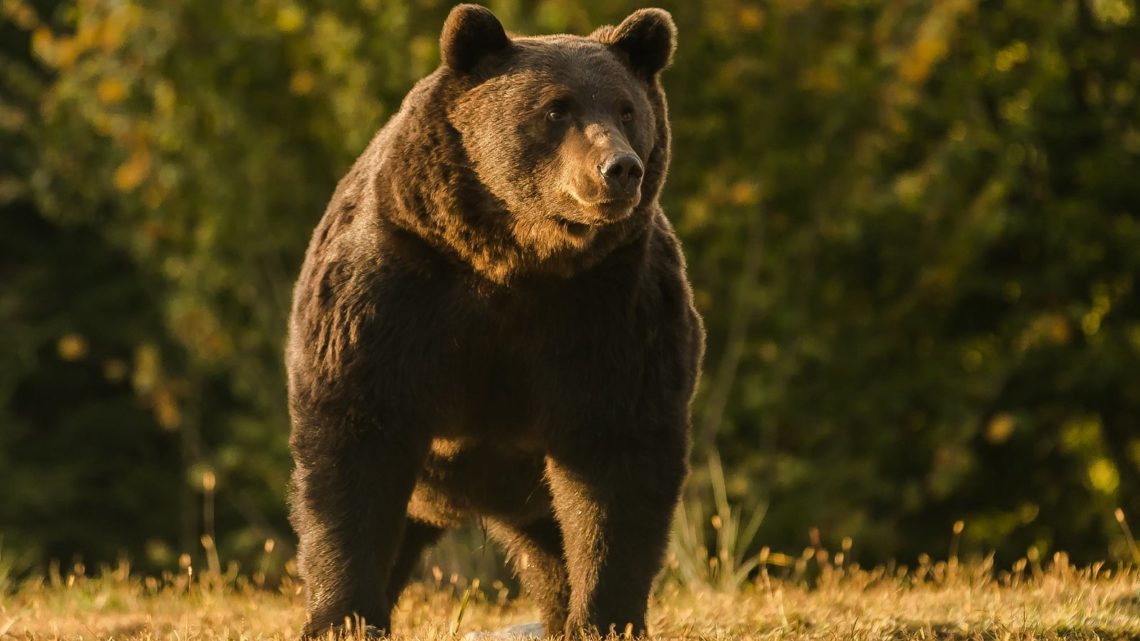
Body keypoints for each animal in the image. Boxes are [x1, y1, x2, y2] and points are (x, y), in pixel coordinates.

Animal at [285, 3, 702, 634]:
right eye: (556, 107)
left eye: (627, 109)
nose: (619, 168)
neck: (515, 259)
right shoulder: (393, 290)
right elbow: (354, 442)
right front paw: (344, 617)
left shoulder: (613, 309)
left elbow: (616, 459)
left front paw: (604, 616)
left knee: (552, 548)